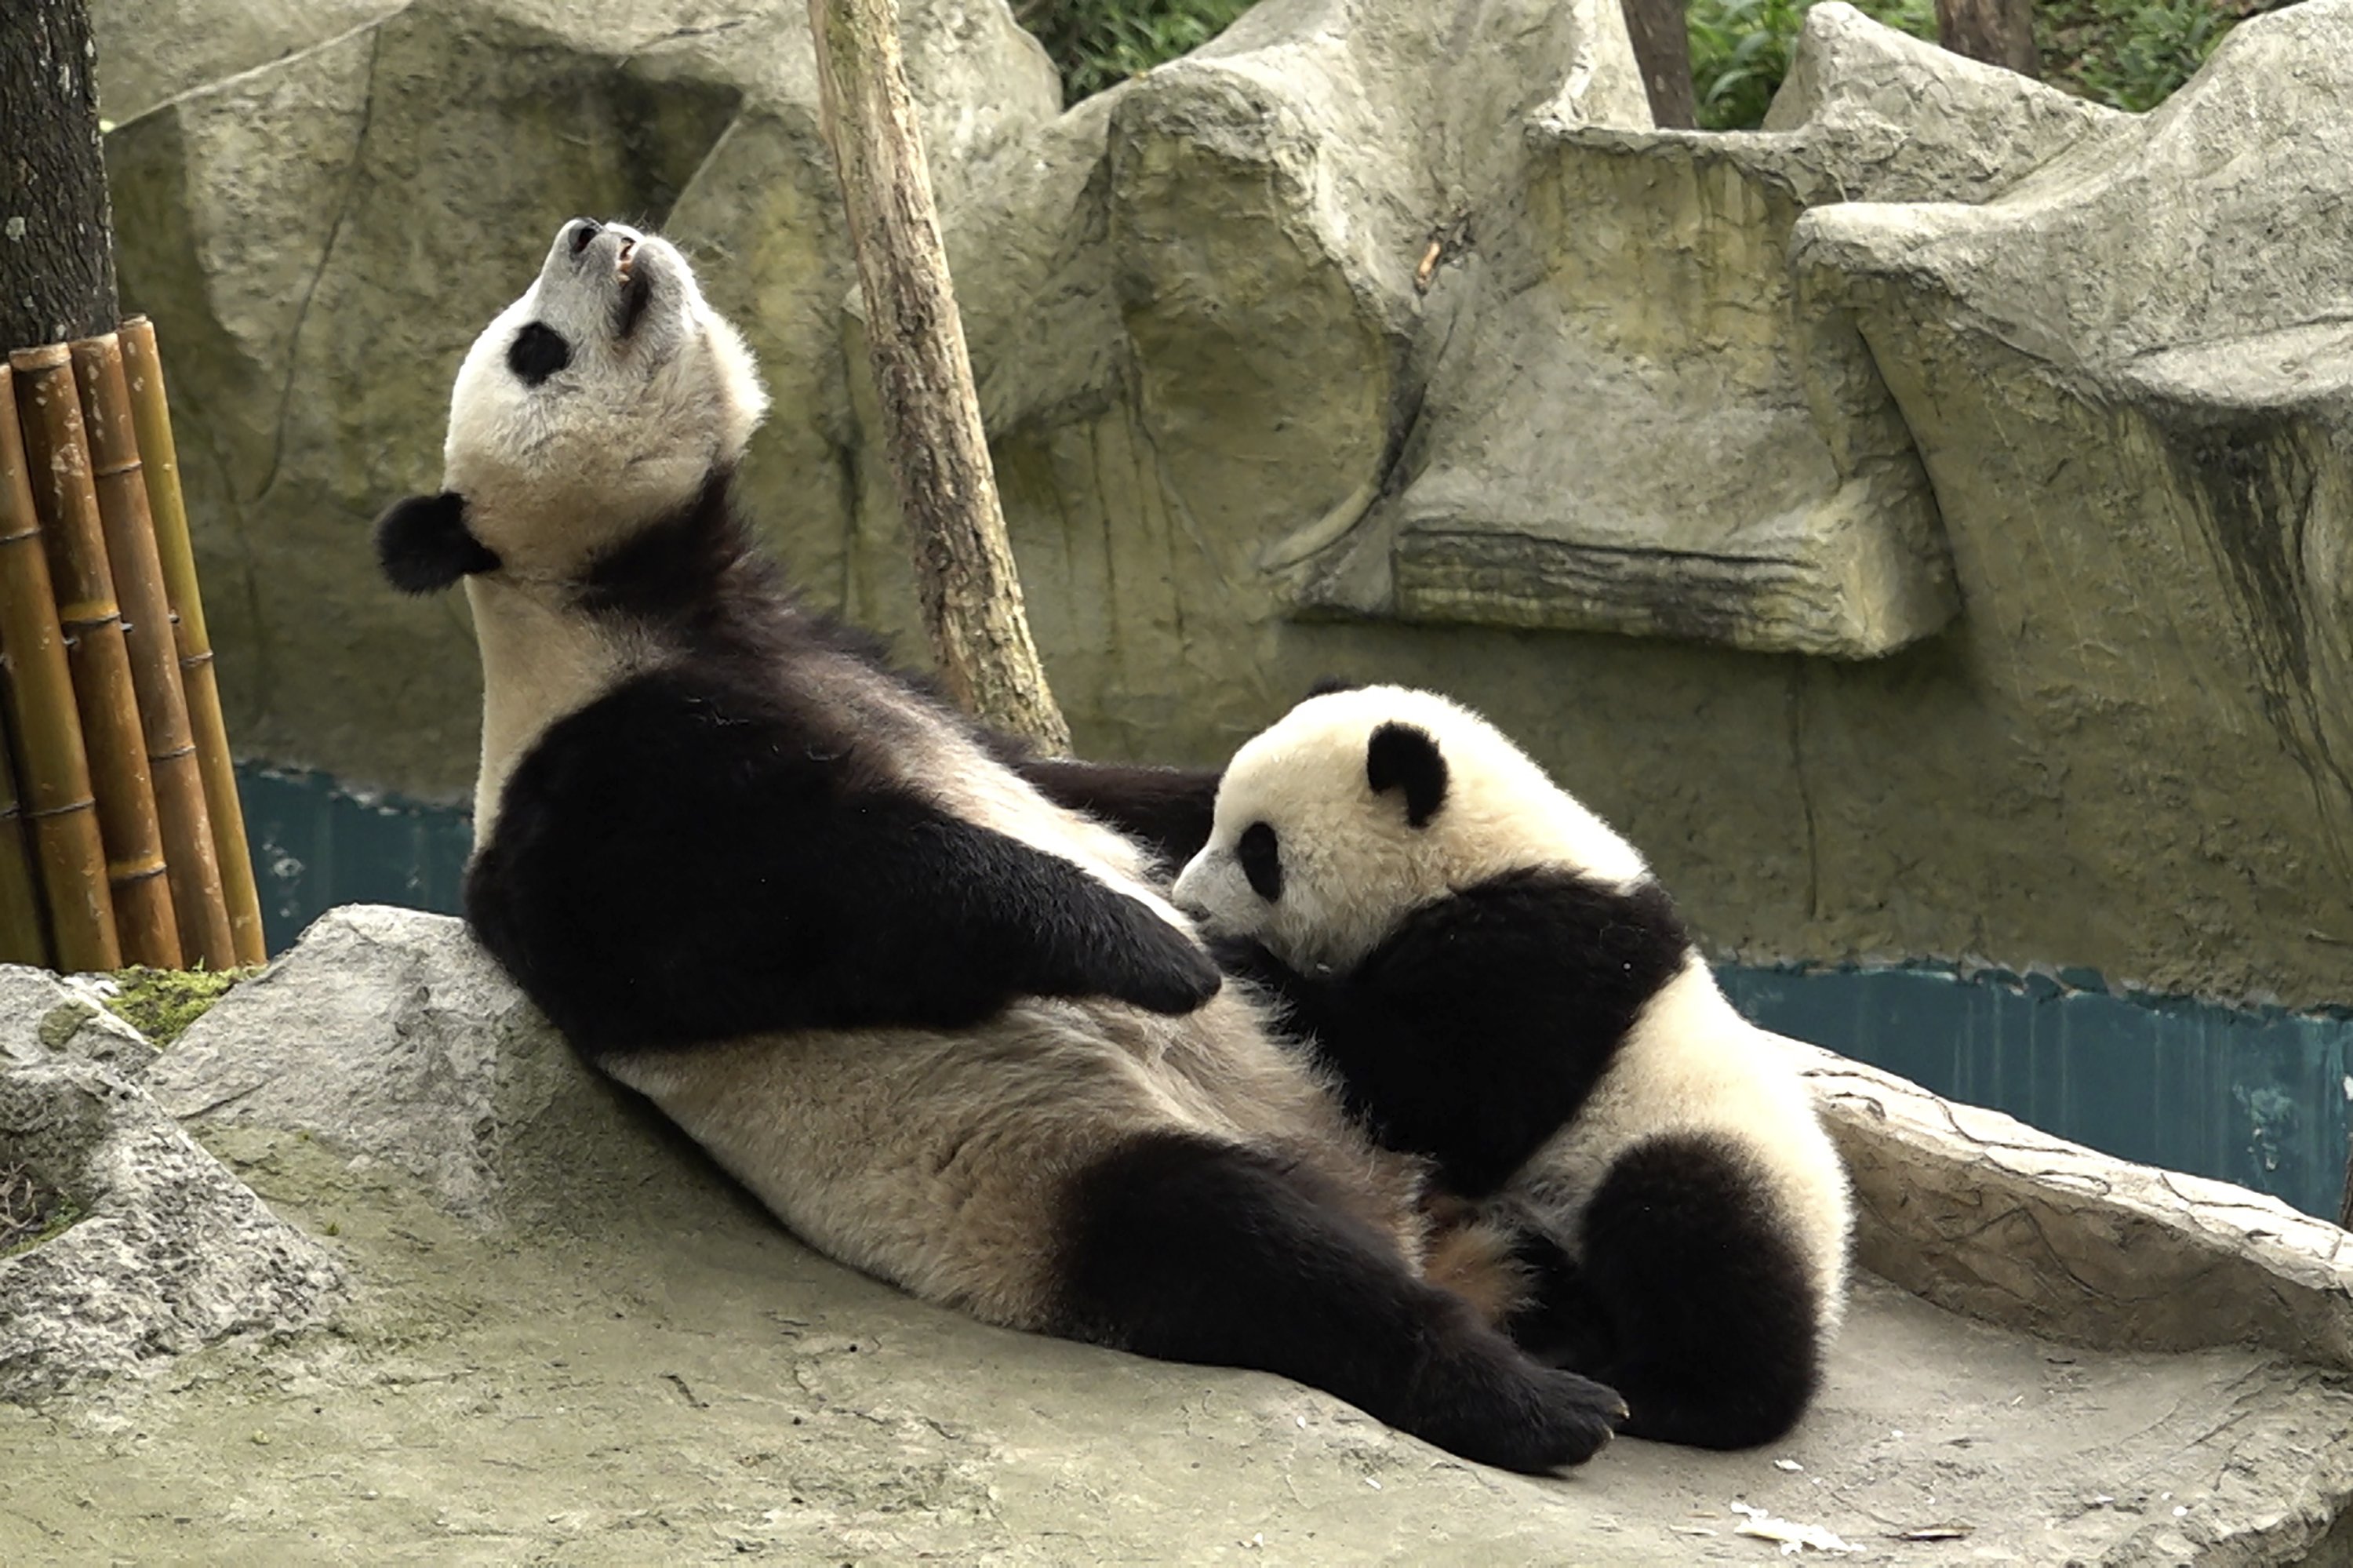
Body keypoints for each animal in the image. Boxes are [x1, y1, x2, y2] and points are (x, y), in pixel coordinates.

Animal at [367, 216, 1628, 1468]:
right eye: (533, 349)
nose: (594, 230)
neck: (633, 598)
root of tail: (1400, 1216)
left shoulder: (858, 662)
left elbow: (1081, 785)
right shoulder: (591, 787)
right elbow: (794, 902)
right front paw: (1156, 950)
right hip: (1051, 1176)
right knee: (1247, 1248)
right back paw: (1537, 1396)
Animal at [1167, 692, 1845, 1450]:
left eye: (1260, 850)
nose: (1188, 899)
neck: (1478, 858)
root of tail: (1831, 1279)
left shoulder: (1544, 962)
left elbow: (1445, 1094)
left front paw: (1230, 952)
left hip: (1707, 1151)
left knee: (1689, 1231)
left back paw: (1675, 1395)